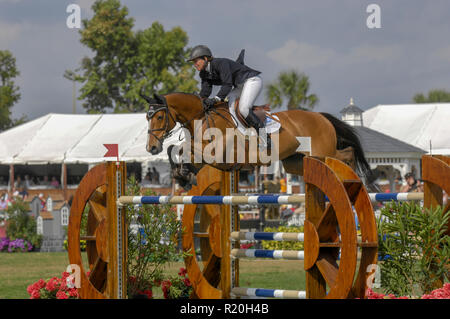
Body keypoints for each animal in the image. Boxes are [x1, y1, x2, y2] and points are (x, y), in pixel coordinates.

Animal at [142, 94, 370, 191]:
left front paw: (183, 175)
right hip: (296, 161)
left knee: (347, 153)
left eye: (159, 117)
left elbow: (182, 147)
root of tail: (321, 117)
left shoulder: (218, 154)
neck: (203, 118)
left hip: (322, 153)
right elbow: (180, 150)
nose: (151, 147)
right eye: (147, 117)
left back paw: (354, 179)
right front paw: (183, 176)